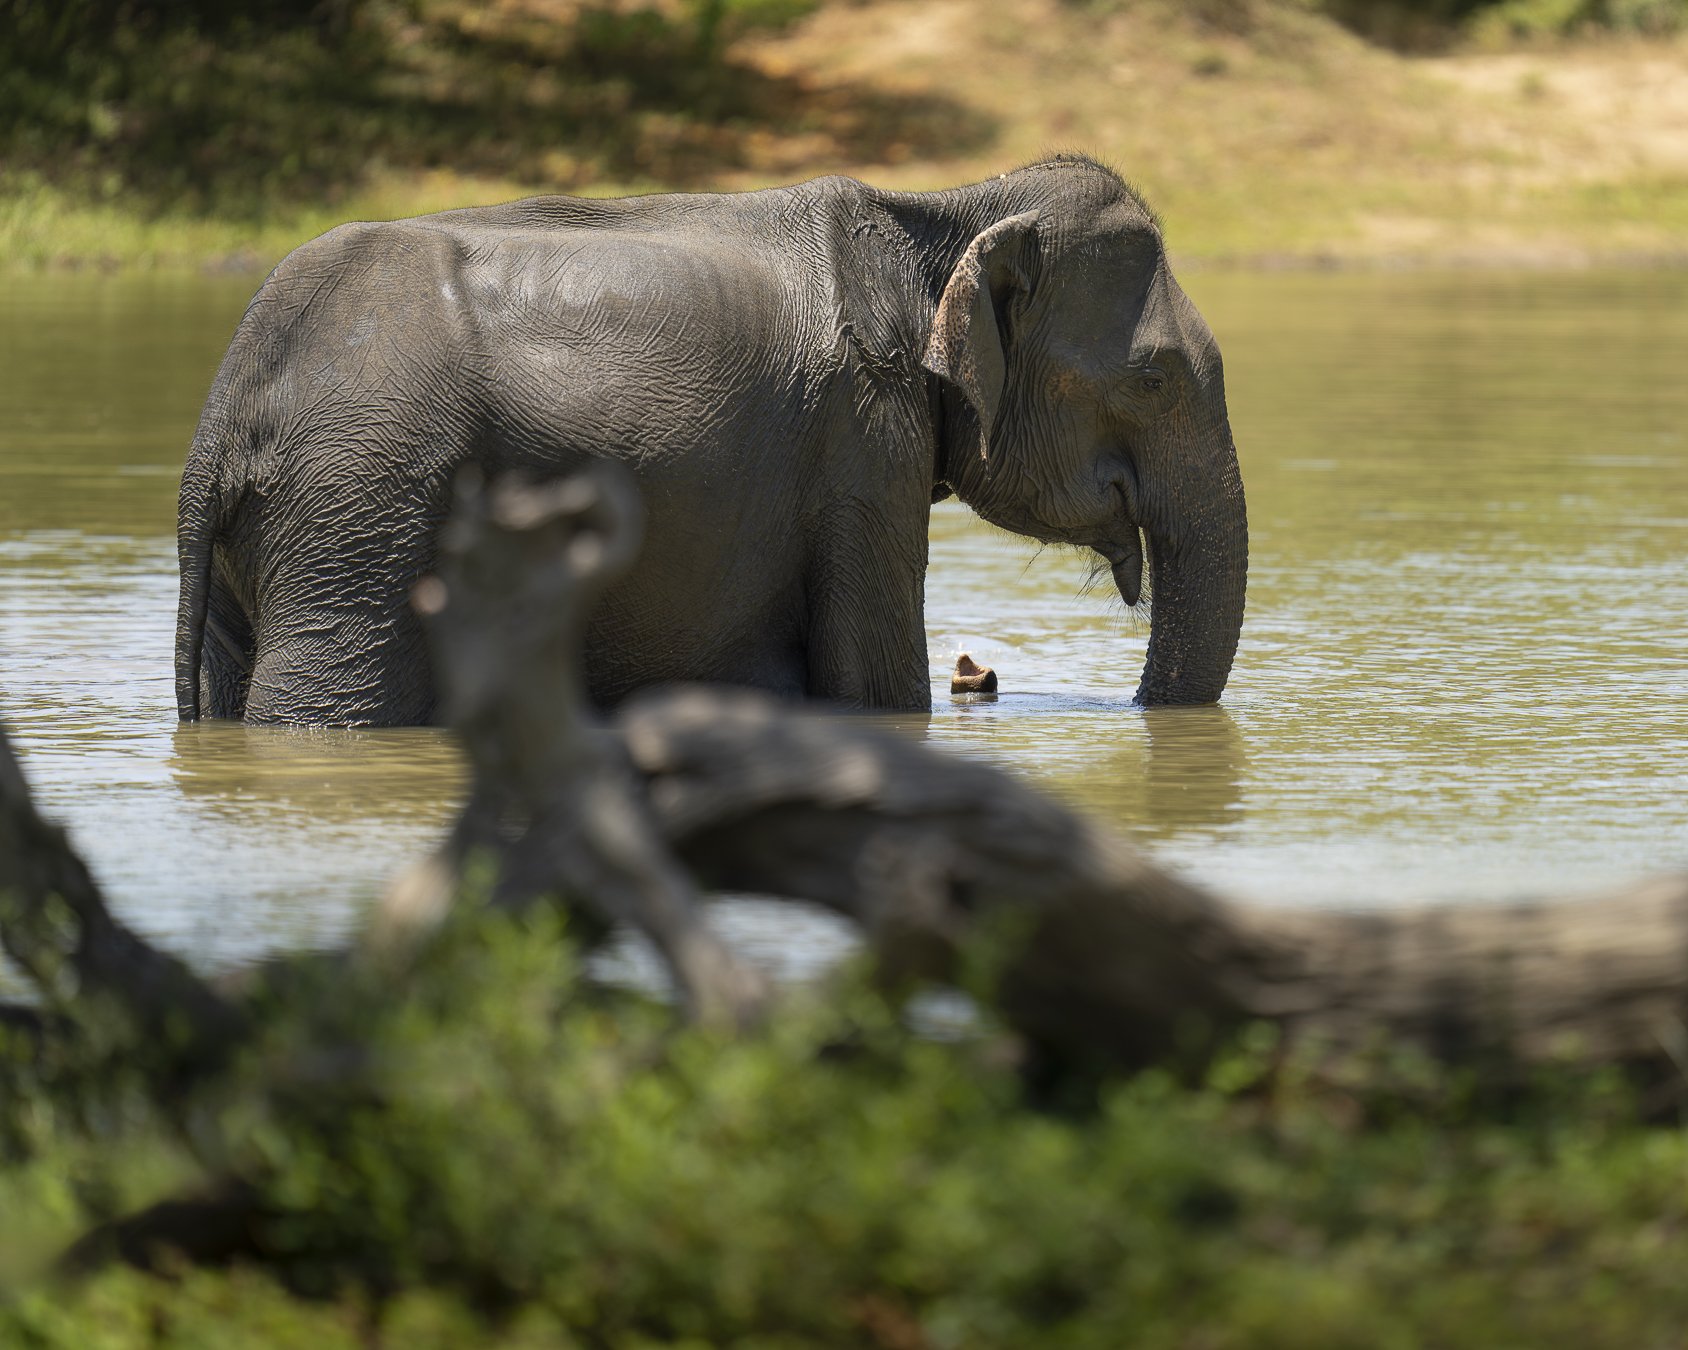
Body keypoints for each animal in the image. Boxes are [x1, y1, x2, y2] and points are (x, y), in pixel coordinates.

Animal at [178, 155, 1249, 729]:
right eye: (1156, 378)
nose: (982, 677)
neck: (947, 212)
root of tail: (224, 411)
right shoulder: (863, 443)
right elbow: (874, 688)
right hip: (361, 501)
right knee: (324, 698)